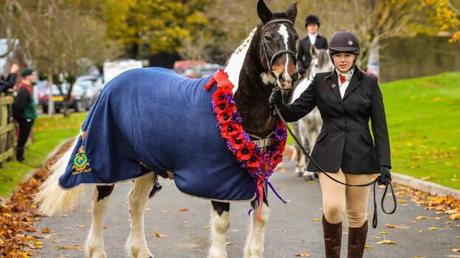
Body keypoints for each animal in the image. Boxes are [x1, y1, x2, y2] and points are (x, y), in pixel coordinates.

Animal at [33, 1, 298, 256]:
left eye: (294, 37)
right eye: (268, 37)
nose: (288, 77)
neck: (237, 104)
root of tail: (110, 85)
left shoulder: (258, 175)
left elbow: (262, 218)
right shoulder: (218, 182)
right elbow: (222, 224)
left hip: (145, 165)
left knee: (136, 203)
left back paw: (141, 251)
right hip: (107, 163)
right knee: (100, 204)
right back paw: (97, 251)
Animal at [290, 45, 332, 179]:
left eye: (331, 67)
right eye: (316, 65)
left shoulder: (320, 126)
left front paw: (318, 173)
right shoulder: (303, 126)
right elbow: (307, 147)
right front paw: (308, 173)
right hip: (297, 129)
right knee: (299, 147)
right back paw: (300, 170)